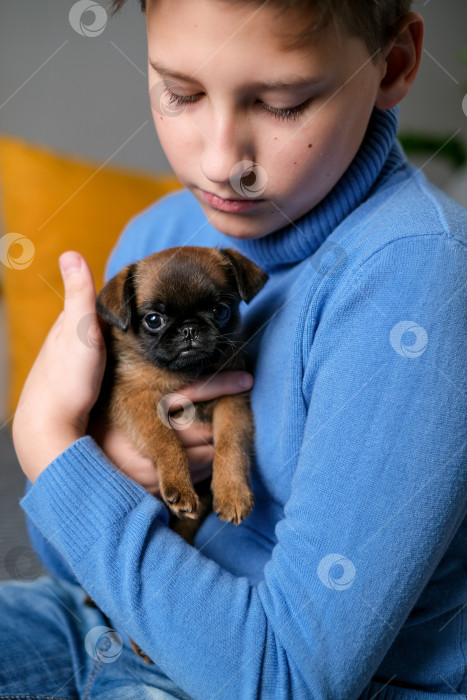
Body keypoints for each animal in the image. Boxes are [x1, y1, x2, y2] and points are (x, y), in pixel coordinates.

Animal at [93, 246, 268, 532]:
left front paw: (233, 491)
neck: (186, 373)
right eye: (154, 320)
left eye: (220, 311)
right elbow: (165, 439)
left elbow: (231, 444)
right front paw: (179, 484)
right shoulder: (136, 400)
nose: (189, 329)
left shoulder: (232, 401)